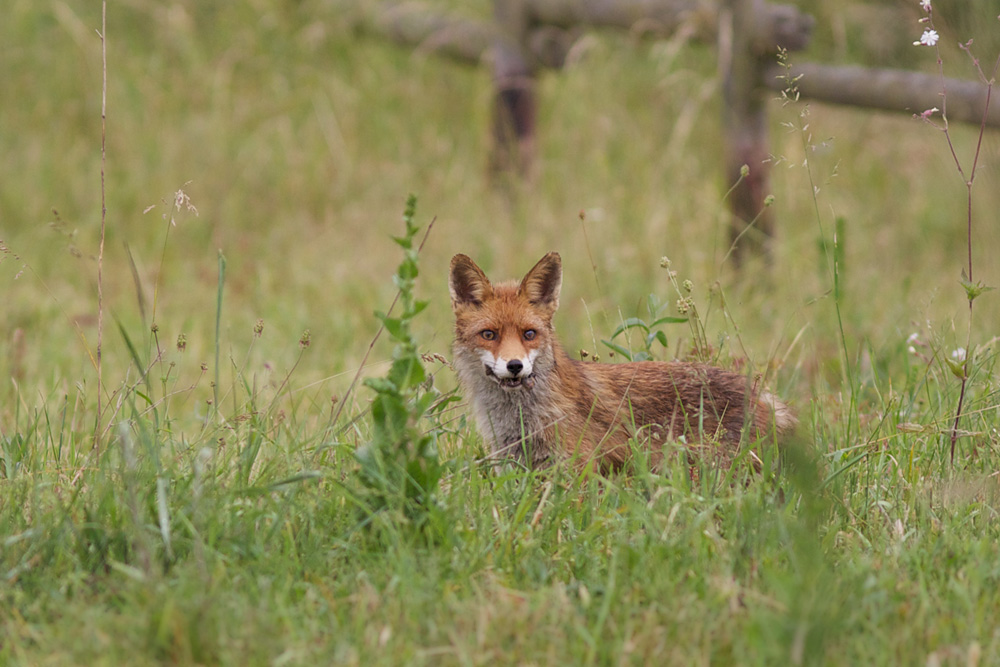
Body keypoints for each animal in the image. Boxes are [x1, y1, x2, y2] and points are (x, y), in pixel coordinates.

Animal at [450, 253, 792, 472]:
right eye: (489, 334)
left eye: (529, 334)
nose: (515, 365)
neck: (521, 418)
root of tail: (765, 397)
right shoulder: (511, 467)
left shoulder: (576, 470)